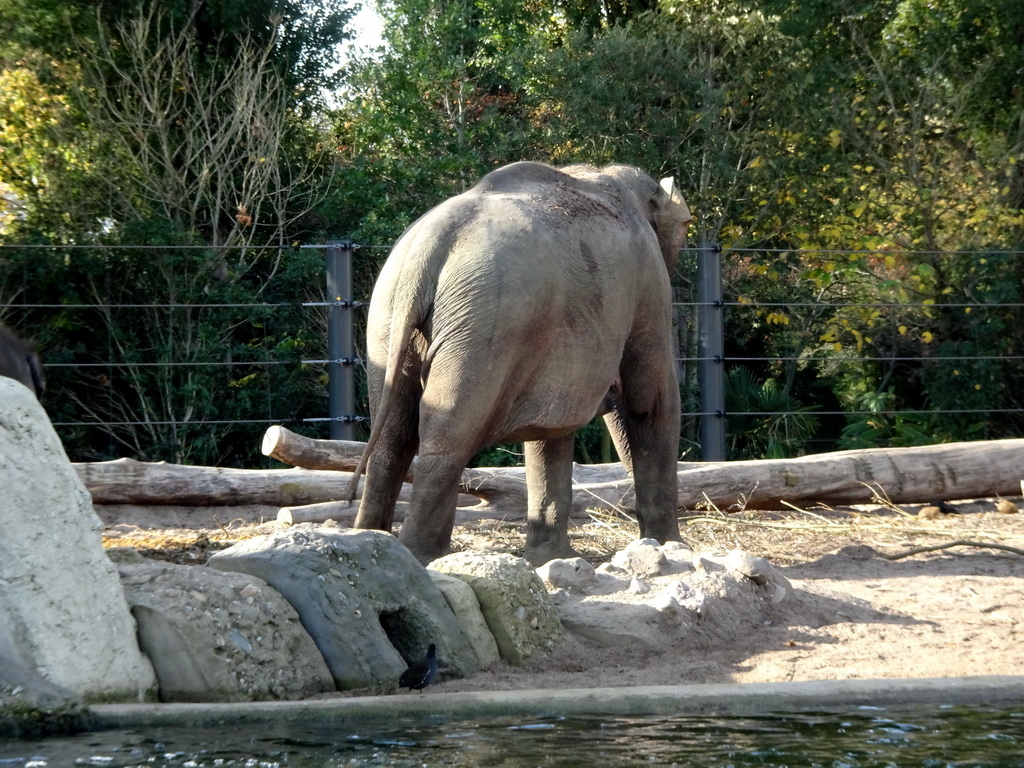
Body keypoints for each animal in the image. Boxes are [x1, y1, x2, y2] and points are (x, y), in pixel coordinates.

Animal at [348, 160, 692, 565]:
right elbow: (649, 401)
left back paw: (374, 541)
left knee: (392, 437)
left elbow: (550, 431)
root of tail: (429, 249)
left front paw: (550, 558)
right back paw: (423, 557)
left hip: (388, 322)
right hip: (485, 327)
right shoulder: (649, 282)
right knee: (448, 437)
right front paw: (673, 547)